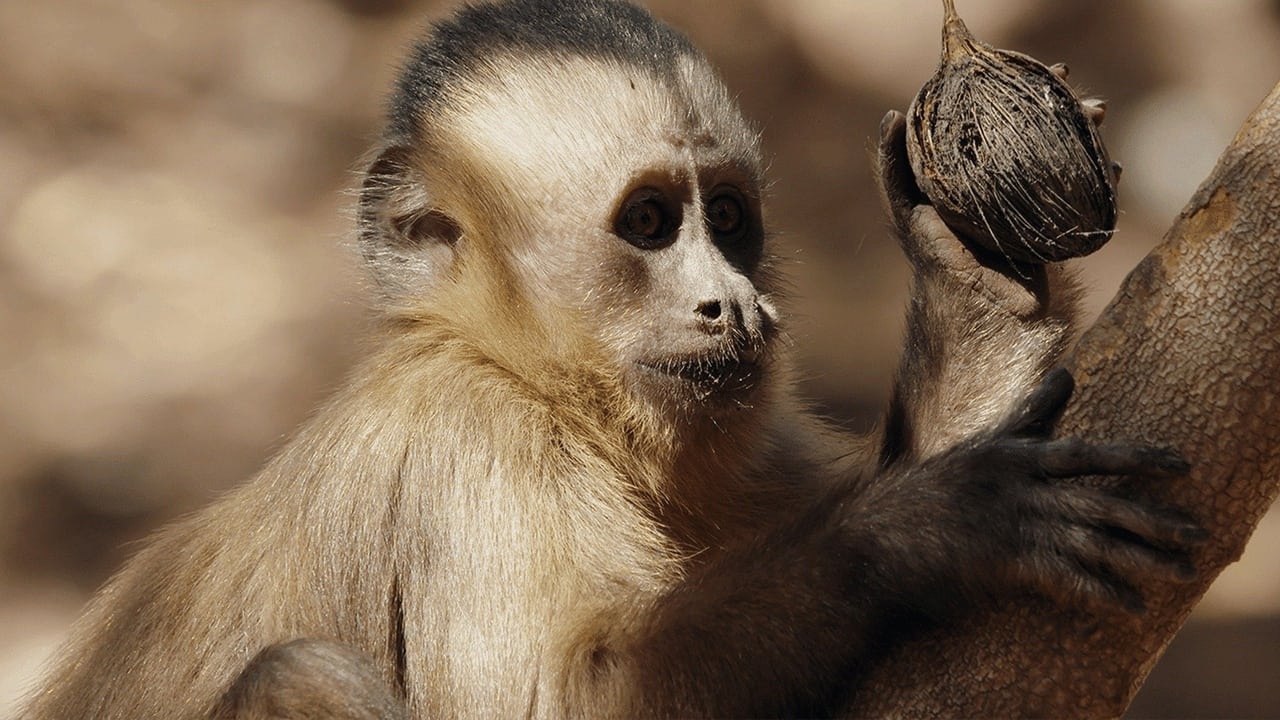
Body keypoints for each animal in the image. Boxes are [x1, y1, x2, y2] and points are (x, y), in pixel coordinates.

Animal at [20, 1, 1203, 717]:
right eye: (647, 225)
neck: (537, 381)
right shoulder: (473, 442)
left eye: (727, 220)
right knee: (299, 678)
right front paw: (927, 529)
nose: (731, 303)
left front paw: (975, 290)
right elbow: (561, 699)